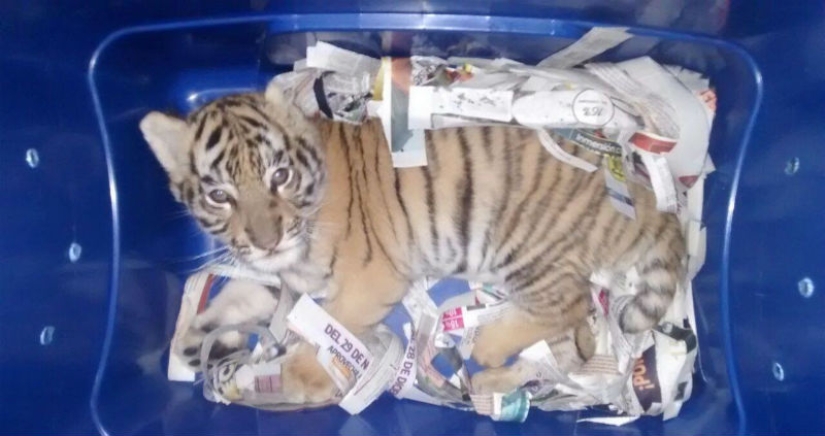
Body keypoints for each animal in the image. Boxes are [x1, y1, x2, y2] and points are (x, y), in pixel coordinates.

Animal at [139, 78, 686, 404]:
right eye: (219, 195)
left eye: (279, 176)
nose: (267, 240)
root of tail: (645, 196)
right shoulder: (284, 278)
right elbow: (234, 298)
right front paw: (194, 343)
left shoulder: (369, 278)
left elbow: (332, 328)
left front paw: (296, 376)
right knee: (573, 349)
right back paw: (491, 383)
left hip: (528, 249)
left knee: (568, 306)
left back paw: (488, 348)